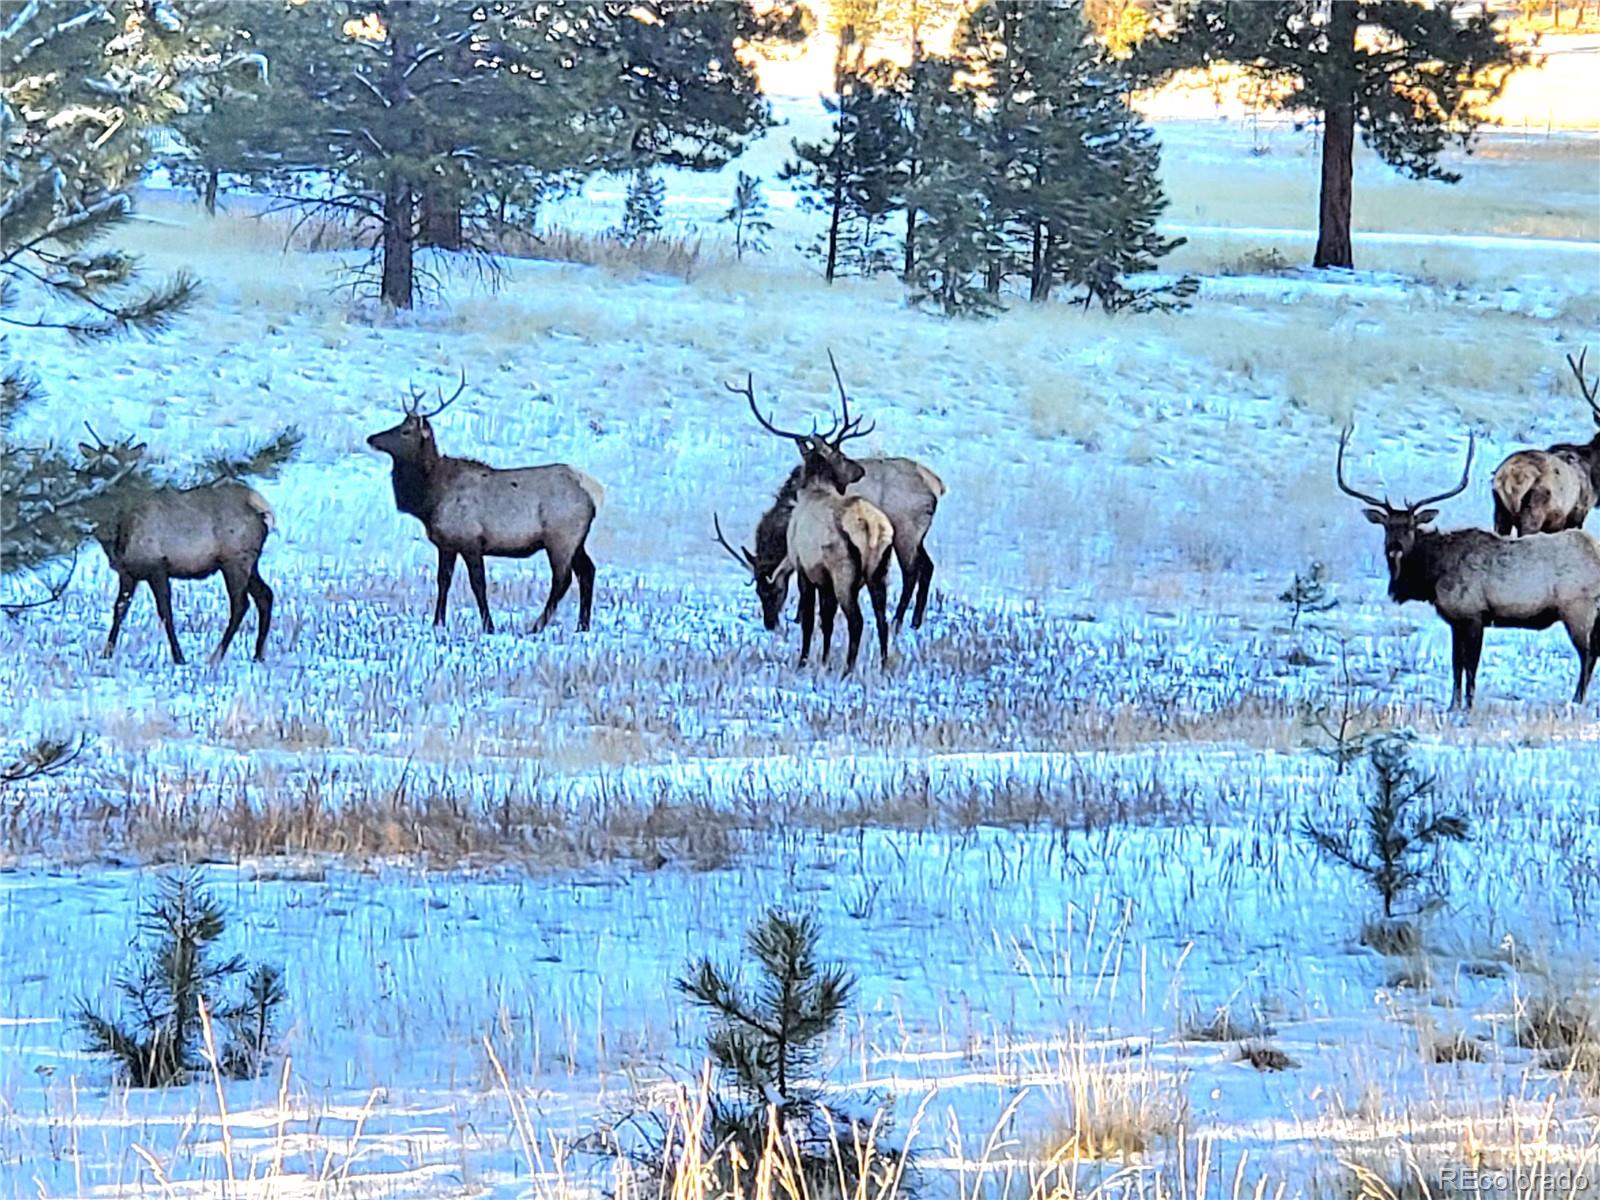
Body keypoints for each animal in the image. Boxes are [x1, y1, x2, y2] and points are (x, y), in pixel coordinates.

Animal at [366, 376, 601, 640]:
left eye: (405, 431)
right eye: (398, 424)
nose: (372, 438)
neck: (430, 498)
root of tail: (593, 492)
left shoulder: (470, 540)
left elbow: (478, 583)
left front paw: (489, 626)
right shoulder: (447, 543)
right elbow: (443, 581)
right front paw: (437, 623)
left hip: (561, 537)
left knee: (563, 579)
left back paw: (536, 626)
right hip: (577, 541)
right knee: (587, 571)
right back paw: (583, 625)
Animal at [716, 374, 896, 678]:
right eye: (842, 455)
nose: (860, 470)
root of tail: (873, 529)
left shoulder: (803, 567)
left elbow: (811, 619)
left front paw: (804, 661)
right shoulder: (822, 578)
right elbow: (827, 620)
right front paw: (822, 660)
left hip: (844, 572)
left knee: (857, 620)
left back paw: (848, 670)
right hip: (879, 572)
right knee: (882, 619)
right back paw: (884, 666)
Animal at [720, 355, 940, 633]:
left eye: (774, 591)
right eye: (758, 592)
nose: (770, 623)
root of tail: (937, 487)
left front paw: (799, 617)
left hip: (906, 532)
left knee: (911, 572)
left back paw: (899, 620)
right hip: (918, 535)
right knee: (928, 565)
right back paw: (915, 621)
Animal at [1337, 428, 1600, 710]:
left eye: (1410, 527)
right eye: (1387, 527)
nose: (1395, 548)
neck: (1434, 574)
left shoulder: (1474, 614)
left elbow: (1470, 667)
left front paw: (1468, 706)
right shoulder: (1456, 620)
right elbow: (1457, 666)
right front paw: (1453, 705)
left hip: (1577, 608)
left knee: (1587, 654)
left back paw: (1577, 700)